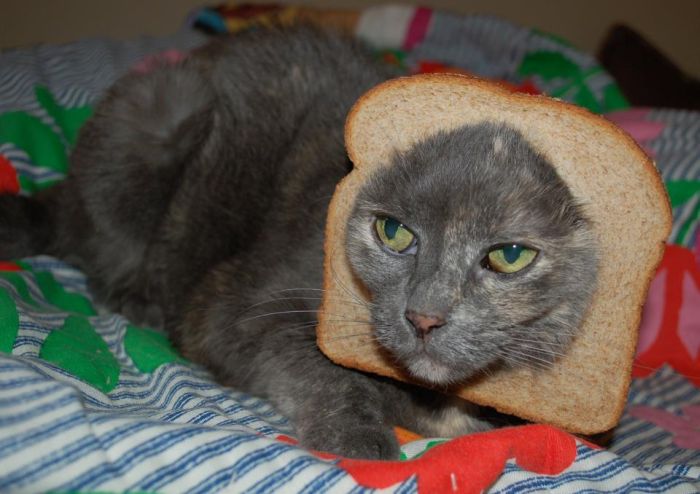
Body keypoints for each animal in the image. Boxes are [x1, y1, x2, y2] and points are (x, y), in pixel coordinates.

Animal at [1, 26, 596, 460]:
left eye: (508, 256)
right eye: (395, 233)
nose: (424, 317)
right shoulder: (239, 309)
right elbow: (319, 367)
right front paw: (360, 440)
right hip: (160, 113)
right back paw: (137, 300)